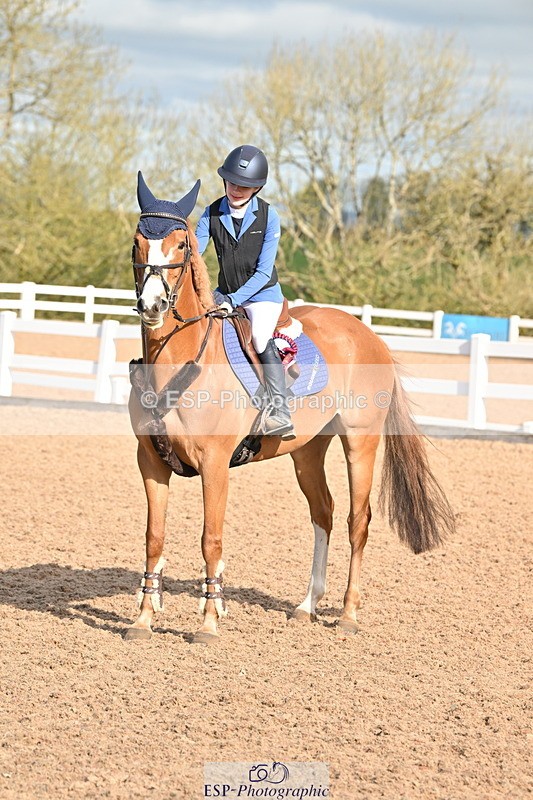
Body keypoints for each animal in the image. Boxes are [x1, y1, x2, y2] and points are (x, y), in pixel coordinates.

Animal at [125, 173, 455, 644]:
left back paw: (348, 614)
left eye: (181, 243)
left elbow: (211, 539)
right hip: (307, 450)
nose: (152, 307)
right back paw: (307, 606)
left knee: (357, 519)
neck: (178, 362)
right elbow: (153, 537)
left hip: (361, 441)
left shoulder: (214, 464)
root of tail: (367, 333)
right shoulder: (151, 461)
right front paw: (143, 619)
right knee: (324, 513)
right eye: (137, 242)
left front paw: (208, 622)